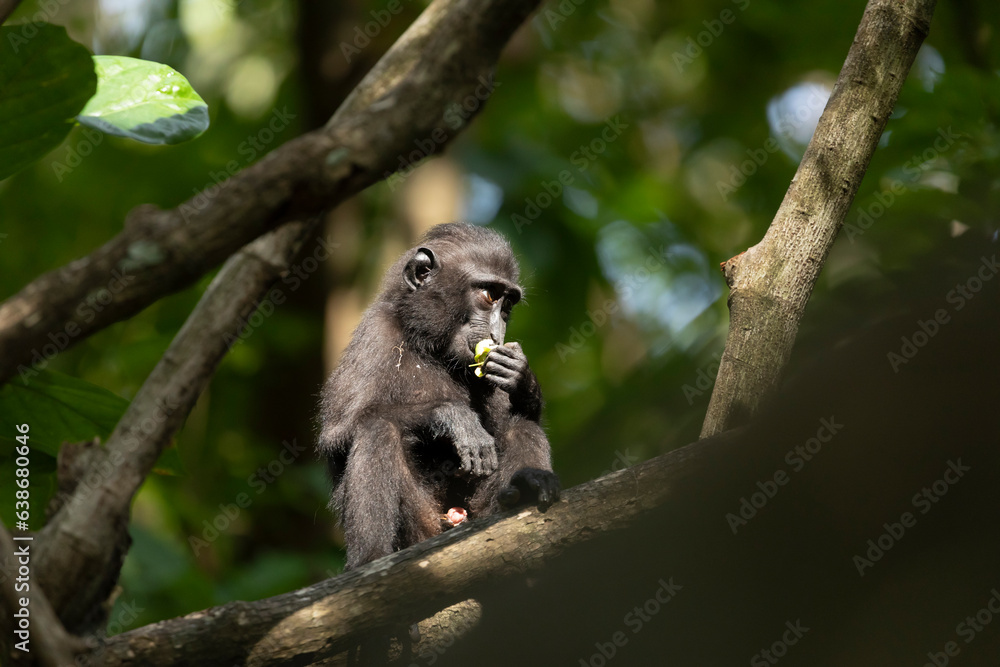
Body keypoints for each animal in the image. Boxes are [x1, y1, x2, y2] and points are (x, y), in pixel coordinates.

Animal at [318, 222, 560, 570]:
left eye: (508, 305)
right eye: (490, 295)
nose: (497, 333)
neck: (429, 346)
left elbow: (517, 416)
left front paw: (520, 376)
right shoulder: (375, 333)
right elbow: (338, 434)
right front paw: (452, 417)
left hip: (479, 512)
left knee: (521, 425)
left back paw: (524, 488)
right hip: (421, 527)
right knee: (377, 429)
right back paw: (370, 560)